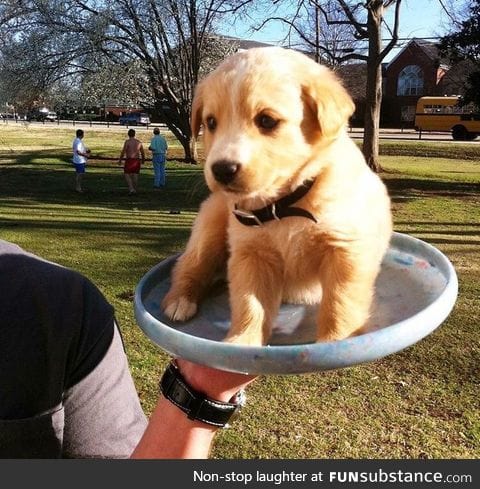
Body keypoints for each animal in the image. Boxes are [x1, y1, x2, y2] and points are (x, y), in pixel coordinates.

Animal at [161, 45, 390, 346]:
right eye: (211, 122)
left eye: (267, 121)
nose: (221, 169)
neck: (284, 204)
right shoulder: (251, 254)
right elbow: (250, 305)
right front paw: (242, 342)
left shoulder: (346, 250)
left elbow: (339, 304)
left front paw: (333, 343)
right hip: (209, 227)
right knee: (189, 264)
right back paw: (180, 300)